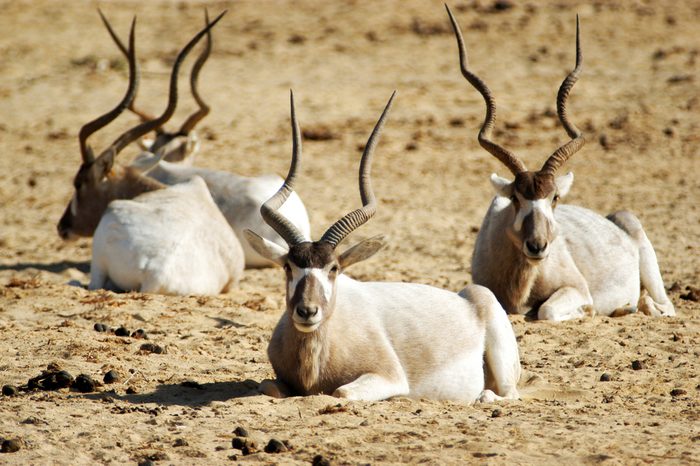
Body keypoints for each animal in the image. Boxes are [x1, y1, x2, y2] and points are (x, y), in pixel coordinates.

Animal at [246, 90, 520, 400]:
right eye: (288, 267)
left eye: (334, 268)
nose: (307, 311)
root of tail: (468, 298)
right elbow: (268, 386)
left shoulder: (390, 377)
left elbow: (340, 393)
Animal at [446, 6, 676, 320]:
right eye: (516, 199)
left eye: (554, 198)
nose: (537, 246)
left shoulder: (577, 289)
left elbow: (547, 311)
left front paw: (586, 312)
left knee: (664, 305)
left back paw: (630, 306)